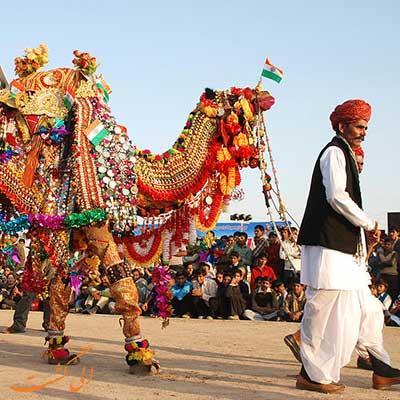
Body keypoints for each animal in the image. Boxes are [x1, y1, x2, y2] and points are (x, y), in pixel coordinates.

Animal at [0, 45, 276, 374]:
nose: (266, 96)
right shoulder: (92, 212)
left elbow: (61, 284)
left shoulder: (69, 223)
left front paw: (58, 349)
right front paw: (141, 356)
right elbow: (121, 280)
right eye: (238, 96)